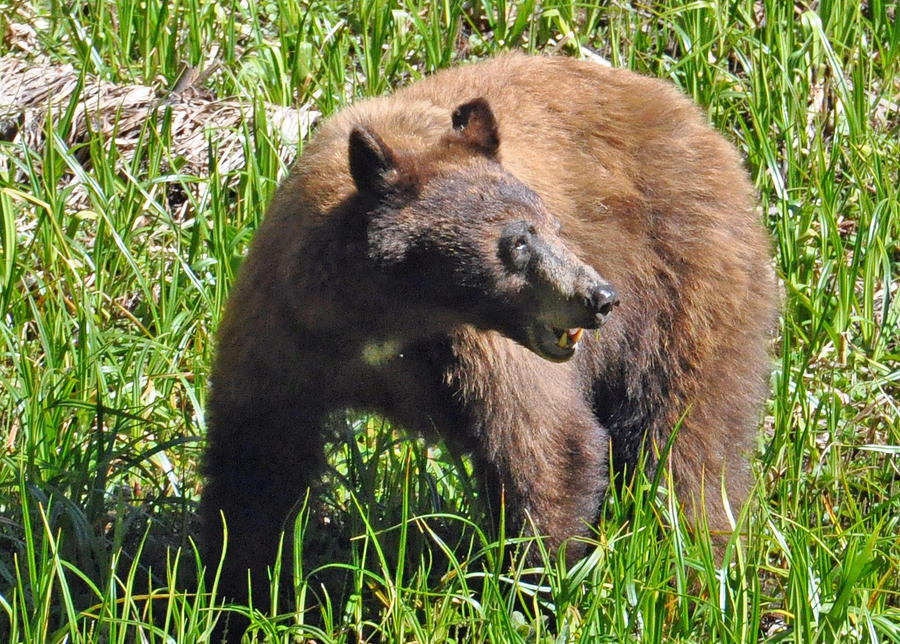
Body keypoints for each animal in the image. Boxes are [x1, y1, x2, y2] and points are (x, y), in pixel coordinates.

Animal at [200, 52, 776, 628]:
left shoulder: (486, 352)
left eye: (556, 225)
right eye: (517, 241)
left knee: (687, 443)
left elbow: (545, 445)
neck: (391, 313)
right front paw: (236, 592)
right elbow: (258, 454)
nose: (600, 296)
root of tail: (699, 122)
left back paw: (692, 571)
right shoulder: (287, 328)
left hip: (688, 287)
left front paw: (537, 591)